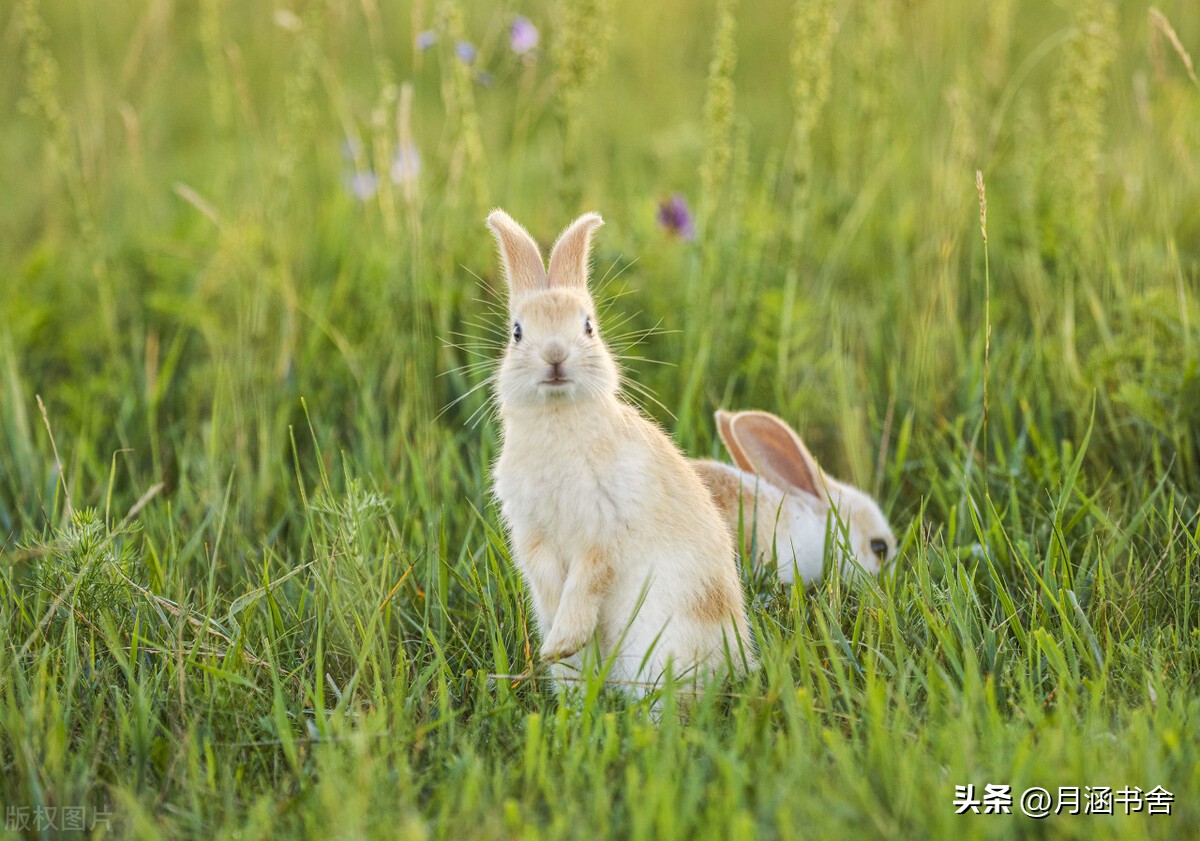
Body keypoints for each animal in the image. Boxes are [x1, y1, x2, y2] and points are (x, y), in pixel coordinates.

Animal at [484, 209, 748, 695]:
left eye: (588, 326)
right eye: (517, 332)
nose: (554, 355)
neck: (560, 418)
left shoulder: (604, 526)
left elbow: (588, 579)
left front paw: (562, 638)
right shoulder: (533, 532)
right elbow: (550, 582)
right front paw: (556, 645)